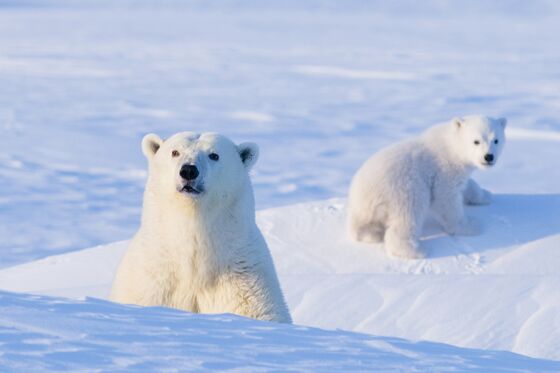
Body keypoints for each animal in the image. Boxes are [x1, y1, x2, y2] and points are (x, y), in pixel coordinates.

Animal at [348, 115, 506, 258]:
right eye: (476, 141)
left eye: (496, 140)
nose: (488, 157)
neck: (451, 145)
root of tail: (362, 196)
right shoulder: (444, 170)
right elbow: (446, 200)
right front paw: (471, 226)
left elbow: (468, 185)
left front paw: (485, 195)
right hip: (404, 188)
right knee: (409, 214)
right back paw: (415, 250)